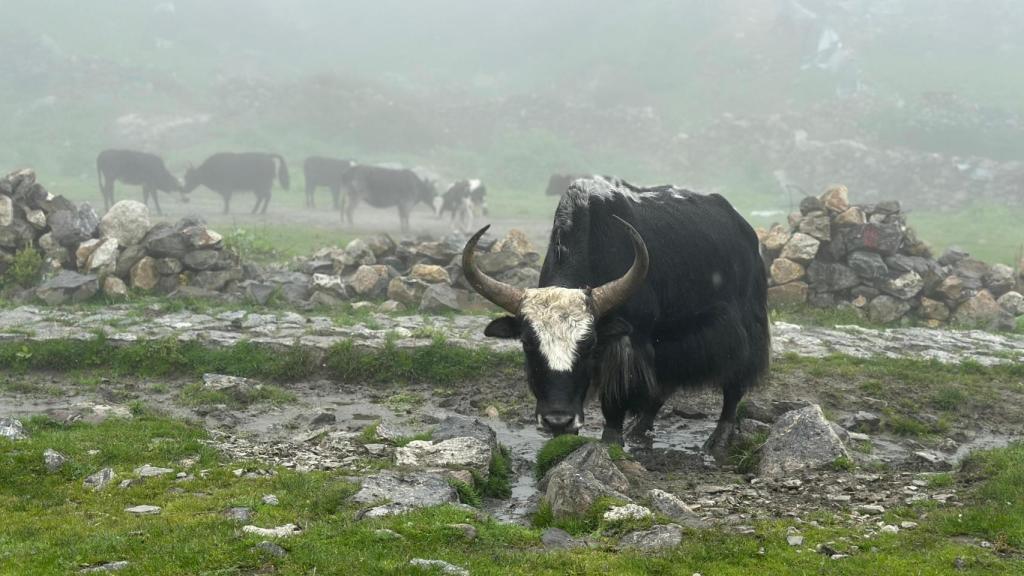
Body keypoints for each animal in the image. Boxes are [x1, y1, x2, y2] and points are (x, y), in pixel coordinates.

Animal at [464, 177, 770, 459]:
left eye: (589, 344)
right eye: (528, 343)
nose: (557, 420)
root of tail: (742, 226)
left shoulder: (625, 344)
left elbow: (615, 397)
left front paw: (610, 442)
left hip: (743, 327)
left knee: (735, 379)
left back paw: (717, 439)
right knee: (665, 382)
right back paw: (639, 428)